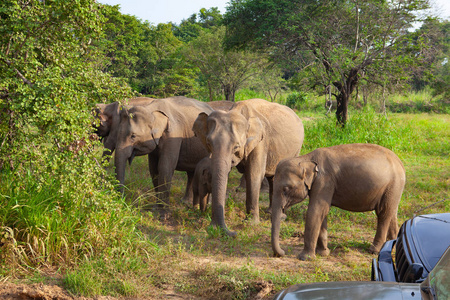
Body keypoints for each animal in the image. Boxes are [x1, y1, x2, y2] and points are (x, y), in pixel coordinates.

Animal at [192, 99, 304, 236]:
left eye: (236, 146)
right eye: (209, 143)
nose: (233, 232)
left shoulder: (261, 141)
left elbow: (254, 174)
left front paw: (251, 223)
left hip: (296, 149)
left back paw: (281, 216)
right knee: (273, 178)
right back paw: (271, 212)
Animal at [270, 143, 408, 260]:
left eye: (286, 189)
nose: (283, 252)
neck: (306, 158)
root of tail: (400, 162)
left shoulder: (325, 181)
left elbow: (316, 211)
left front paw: (305, 258)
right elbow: (323, 213)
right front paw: (323, 253)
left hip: (393, 185)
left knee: (383, 213)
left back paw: (374, 250)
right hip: (393, 189)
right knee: (391, 212)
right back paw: (392, 246)